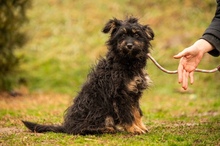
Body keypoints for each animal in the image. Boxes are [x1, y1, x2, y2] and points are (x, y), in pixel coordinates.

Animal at [21, 16, 153, 135]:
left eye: (137, 35)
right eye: (122, 35)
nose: (129, 45)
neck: (126, 62)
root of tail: (67, 127)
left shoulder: (134, 93)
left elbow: (137, 112)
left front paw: (141, 127)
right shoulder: (121, 94)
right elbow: (127, 115)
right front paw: (134, 129)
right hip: (98, 110)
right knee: (83, 129)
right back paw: (106, 129)